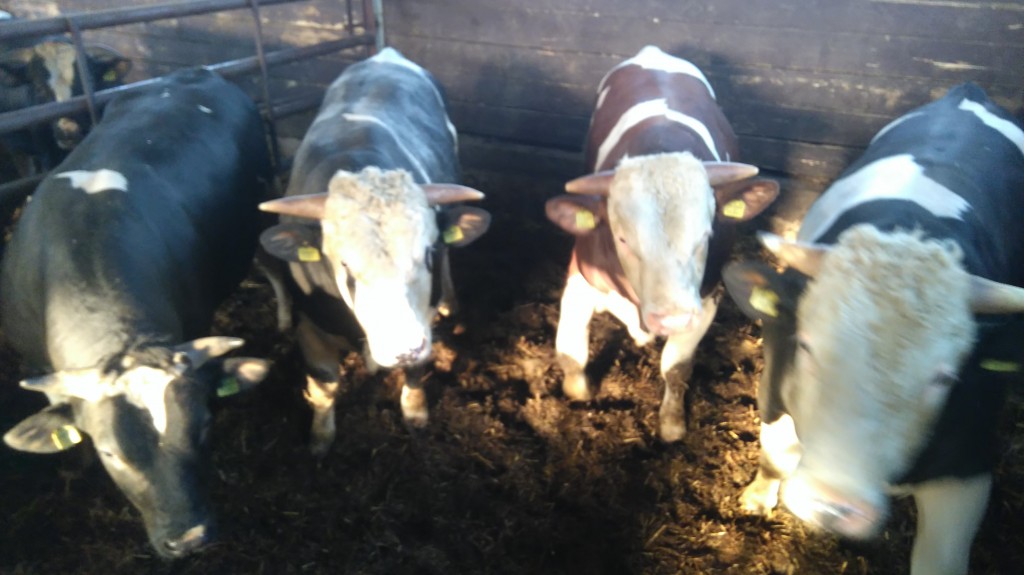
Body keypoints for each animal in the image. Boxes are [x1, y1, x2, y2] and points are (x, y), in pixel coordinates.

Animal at [258, 47, 490, 456]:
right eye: (345, 266)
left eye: (427, 253)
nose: (402, 348)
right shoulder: (310, 326)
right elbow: (324, 384)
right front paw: (320, 438)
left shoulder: (423, 322)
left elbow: (416, 372)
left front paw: (415, 414)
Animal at [544, 45, 779, 442]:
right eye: (622, 237)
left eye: (706, 234)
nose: (672, 317)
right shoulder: (581, 277)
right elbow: (570, 349)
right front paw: (579, 393)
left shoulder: (705, 299)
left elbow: (676, 368)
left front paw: (671, 424)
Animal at [722, 83, 1024, 575]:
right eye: (806, 346)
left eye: (945, 378)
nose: (833, 505)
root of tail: (968, 92)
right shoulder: (774, 389)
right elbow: (775, 456)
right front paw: (756, 498)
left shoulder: (969, 469)